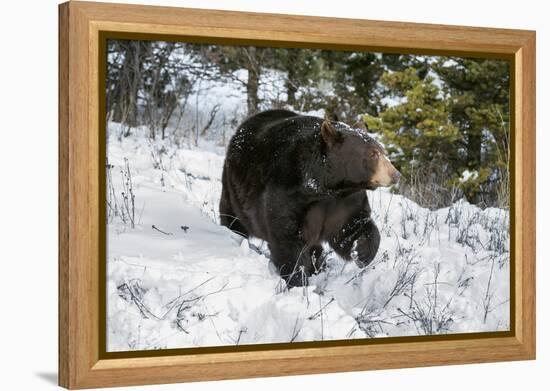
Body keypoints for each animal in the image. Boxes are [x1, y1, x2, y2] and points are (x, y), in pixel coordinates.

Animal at [220, 110, 402, 288]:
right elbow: (286, 238)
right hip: (233, 190)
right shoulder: (288, 193)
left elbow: (350, 227)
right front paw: (299, 281)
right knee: (233, 218)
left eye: (383, 151)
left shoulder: (345, 201)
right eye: (373, 154)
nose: (396, 175)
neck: (326, 187)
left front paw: (362, 253)